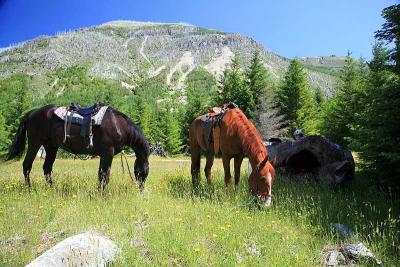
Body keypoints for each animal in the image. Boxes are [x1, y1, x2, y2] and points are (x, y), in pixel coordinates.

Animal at [6, 104, 150, 191]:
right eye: (144, 171)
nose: (142, 189)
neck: (118, 125)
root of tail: (31, 113)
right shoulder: (107, 154)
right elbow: (105, 176)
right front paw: (103, 194)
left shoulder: (104, 155)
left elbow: (100, 175)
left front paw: (99, 192)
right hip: (35, 143)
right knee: (27, 165)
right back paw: (29, 189)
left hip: (51, 146)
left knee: (47, 168)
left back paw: (52, 189)